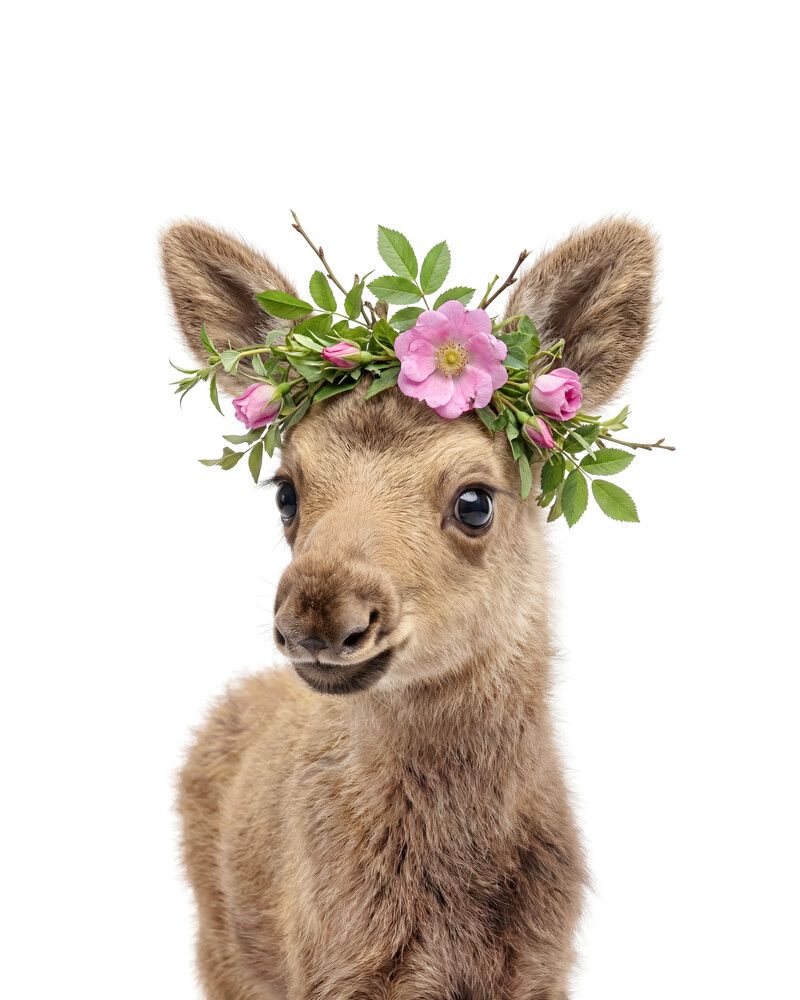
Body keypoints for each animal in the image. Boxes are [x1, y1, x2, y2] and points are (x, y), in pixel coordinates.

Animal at [161, 216, 657, 1000]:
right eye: (286, 490)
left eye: (476, 500)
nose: (320, 615)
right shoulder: (333, 970)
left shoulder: (543, 968)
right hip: (221, 948)